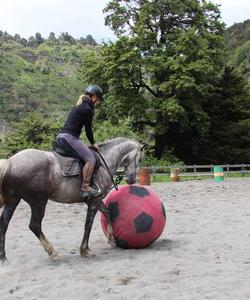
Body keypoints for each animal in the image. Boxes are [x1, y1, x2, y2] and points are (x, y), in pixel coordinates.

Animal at [0, 137, 144, 262]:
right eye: (140, 158)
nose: (132, 179)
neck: (105, 162)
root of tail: (10, 162)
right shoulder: (93, 202)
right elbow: (88, 225)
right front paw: (85, 250)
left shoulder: (96, 200)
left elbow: (107, 212)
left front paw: (111, 239)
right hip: (38, 202)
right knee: (34, 225)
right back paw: (52, 252)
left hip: (13, 201)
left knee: (4, 224)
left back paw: (3, 258)